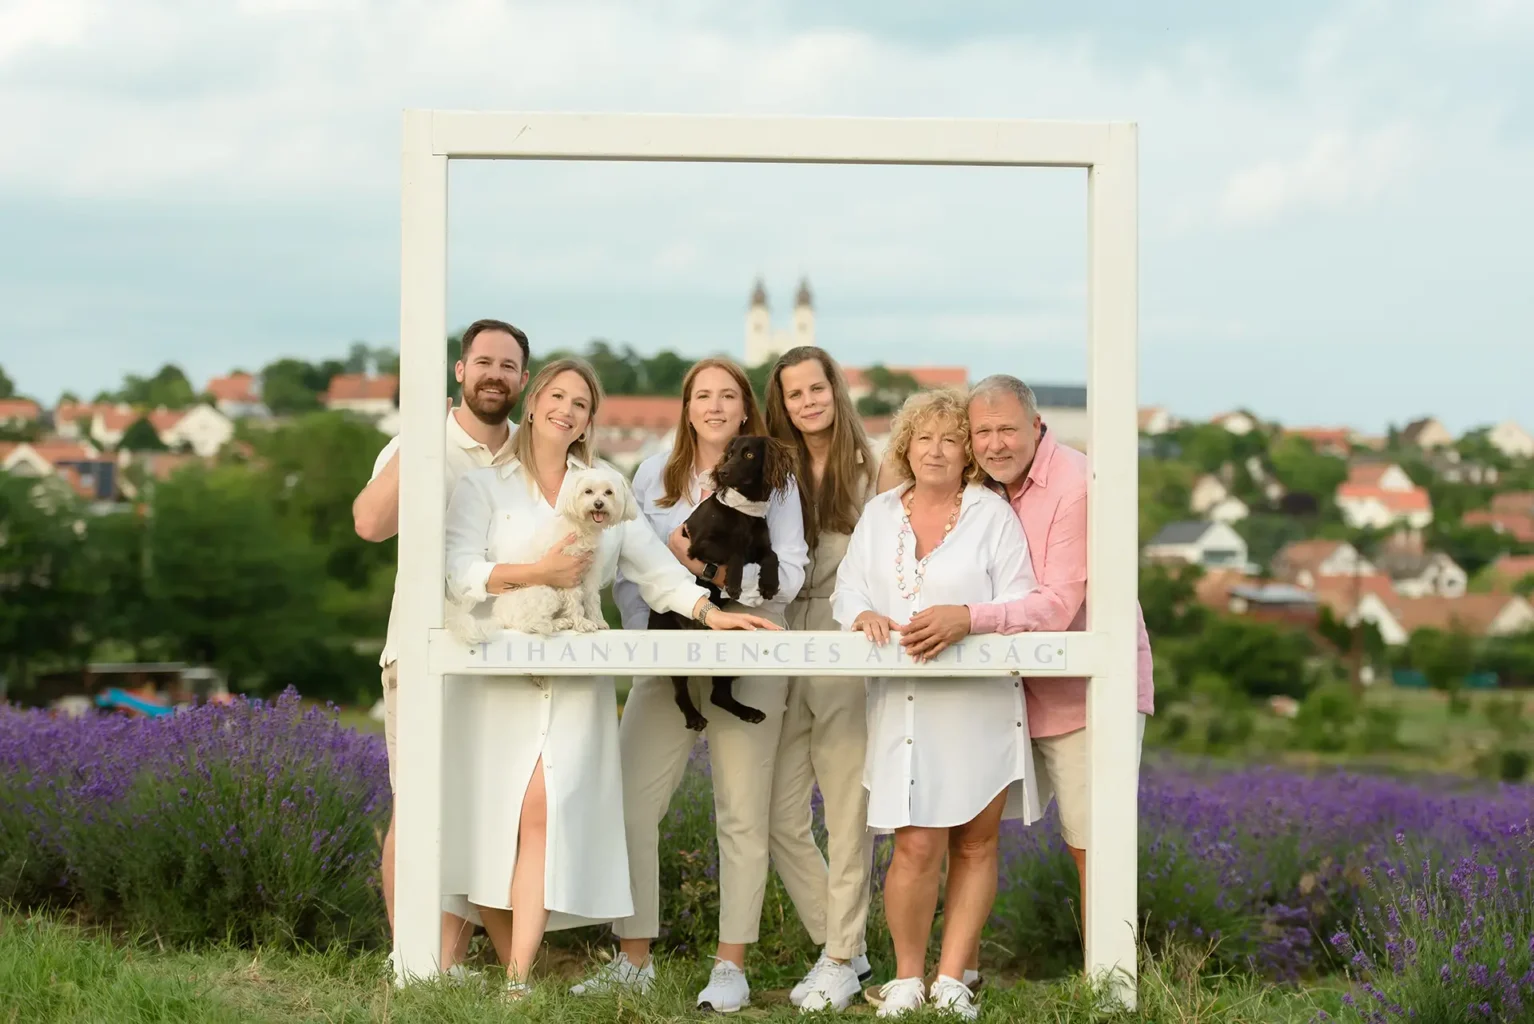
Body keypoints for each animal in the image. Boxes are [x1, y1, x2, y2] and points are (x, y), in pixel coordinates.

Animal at [466, 466, 635, 640]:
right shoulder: (569, 573)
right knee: (531, 625)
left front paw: (597, 621)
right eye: (588, 491)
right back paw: (559, 623)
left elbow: (592, 598)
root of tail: (499, 617)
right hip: (546, 593)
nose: (599, 504)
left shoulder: (591, 573)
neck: (581, 528)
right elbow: (575, 601)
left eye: (609, 492)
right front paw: (582, 623)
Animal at [650, 435, 797, 732]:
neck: (743, 510)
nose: (724, 472)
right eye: (728, 454)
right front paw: (734, 583)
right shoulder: (698, 545)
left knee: (718, 695)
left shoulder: (761, 546)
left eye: (749, 454)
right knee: (680, 691)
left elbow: (772, 555)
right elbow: (735, 551)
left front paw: (769, 584)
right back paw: (693, 717)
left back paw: (748, 711)